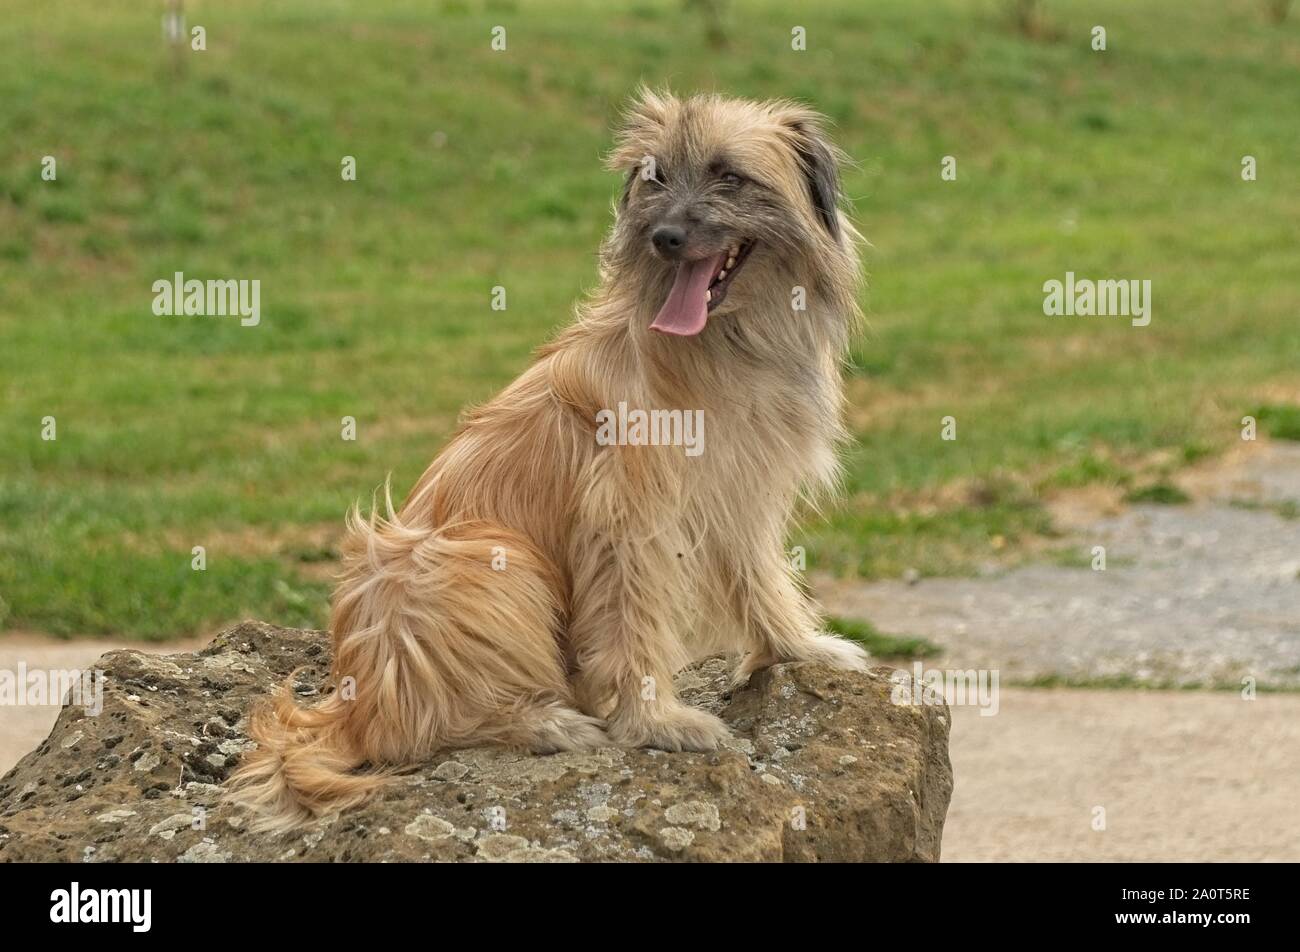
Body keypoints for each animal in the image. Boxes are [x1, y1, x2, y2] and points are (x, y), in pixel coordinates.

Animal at [228, 91, 868, 832]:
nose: (665, 238)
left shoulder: (740, 493)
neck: (725, 342)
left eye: (728, 175)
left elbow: (761, 580)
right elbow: (632, 616)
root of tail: (354, 704)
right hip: (479, 560)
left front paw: (800, 648)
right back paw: (544, 723)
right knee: (416, 730)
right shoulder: (626, 514)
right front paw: (656, 720)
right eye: (655, 177)